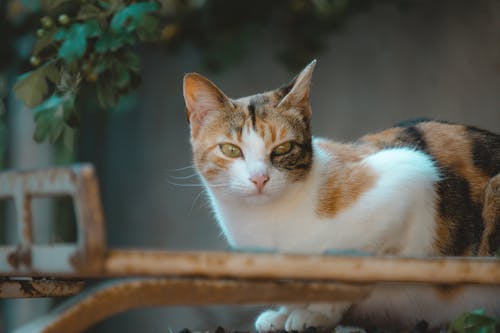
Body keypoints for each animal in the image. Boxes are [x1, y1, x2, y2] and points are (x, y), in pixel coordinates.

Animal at [183, 60, 500, 332]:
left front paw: (316, 312)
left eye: (283, 148)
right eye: (230, 149)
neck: (267, 224)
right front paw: (284, 313)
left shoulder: (411, 172)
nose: (259, 178)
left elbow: (350, 269)